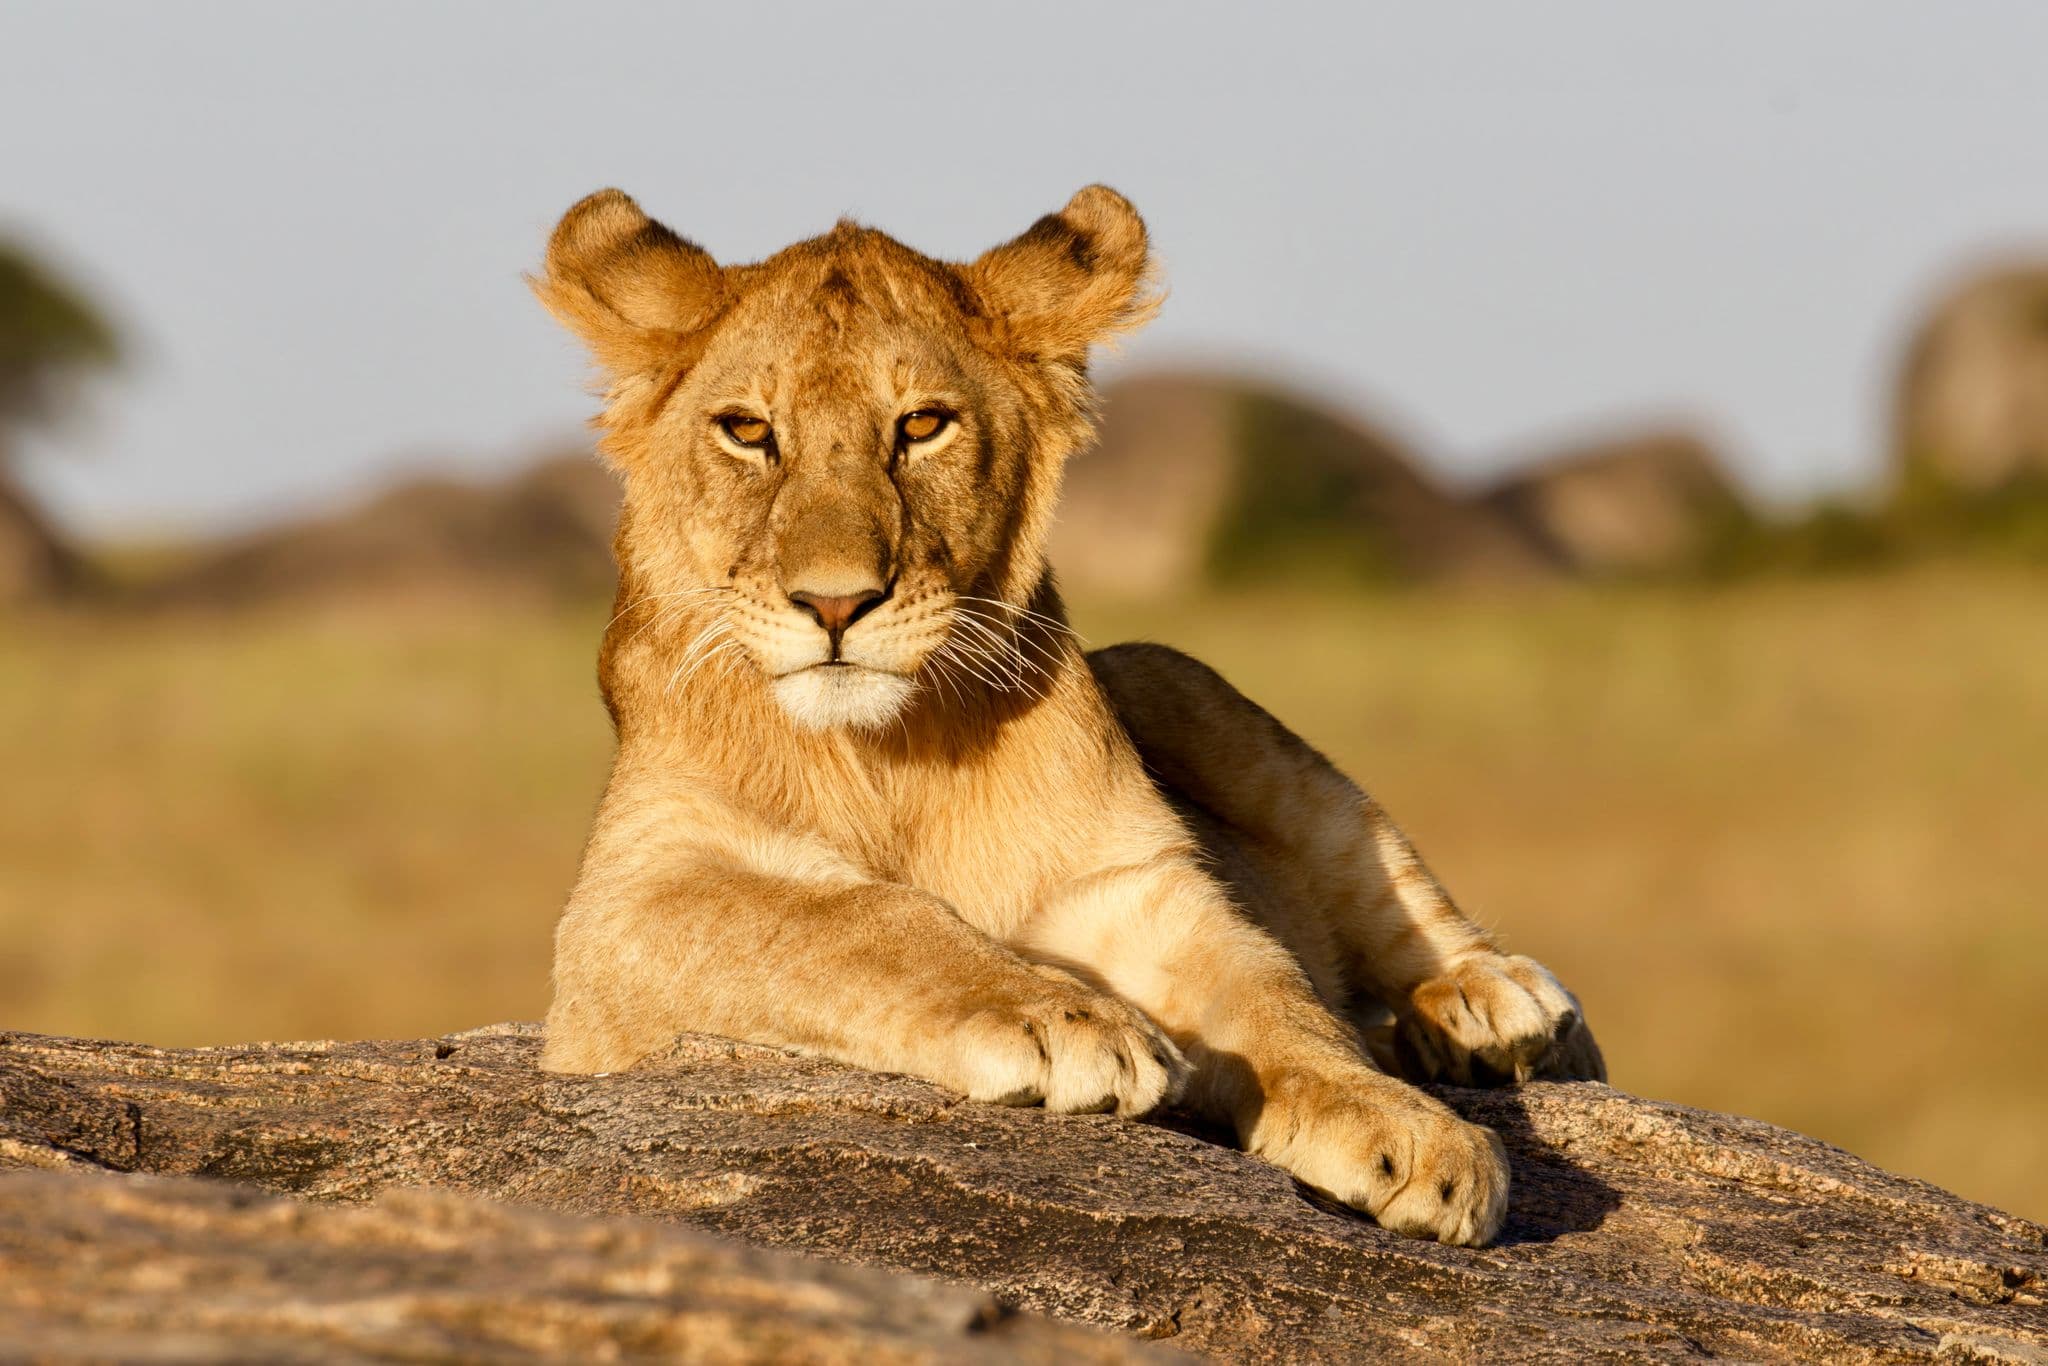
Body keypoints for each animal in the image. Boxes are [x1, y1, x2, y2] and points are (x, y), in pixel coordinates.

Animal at [531, 185, 1605, 1248]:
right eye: (749, 432)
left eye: (922, 425)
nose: (837, 604)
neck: (888, 753)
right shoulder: (622, 911)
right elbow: (850, 917)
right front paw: (1063, 1023)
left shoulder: (1136, 889)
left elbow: (1279, 996)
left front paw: (1405, 1124)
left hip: (1186, 683)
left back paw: (1487, 1009)